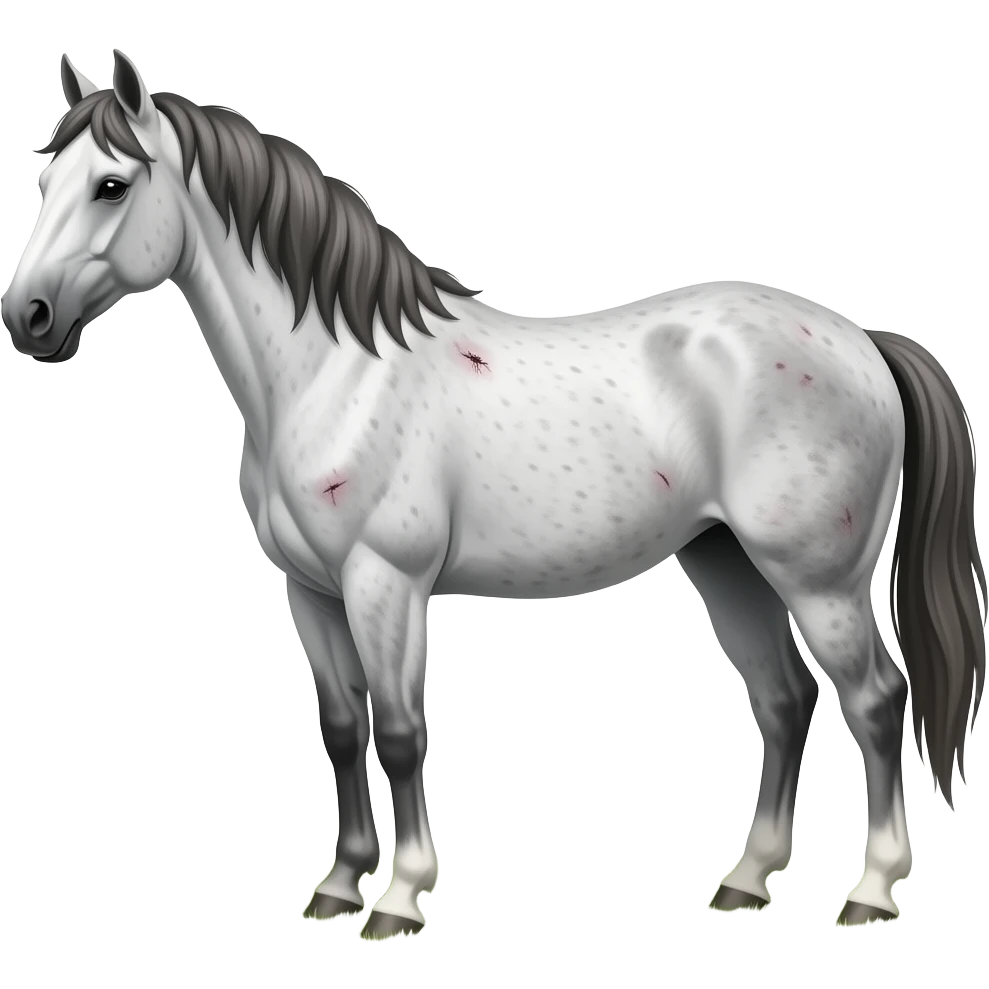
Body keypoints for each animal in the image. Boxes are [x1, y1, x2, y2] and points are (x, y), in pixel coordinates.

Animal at [1, 49, 984, 936]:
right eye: (45, 178)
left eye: (112, 186)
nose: (27, 317)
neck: (334, 374)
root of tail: (863, 341)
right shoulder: (310, 590)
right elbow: (342, 726)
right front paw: (337, 886)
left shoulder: (385, 583)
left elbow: (402, 731)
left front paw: (398, 898)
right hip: (726, 562)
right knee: (783, 701)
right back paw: (745, 882)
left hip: (818, 579)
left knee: (875, 700)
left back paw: (870, 892)